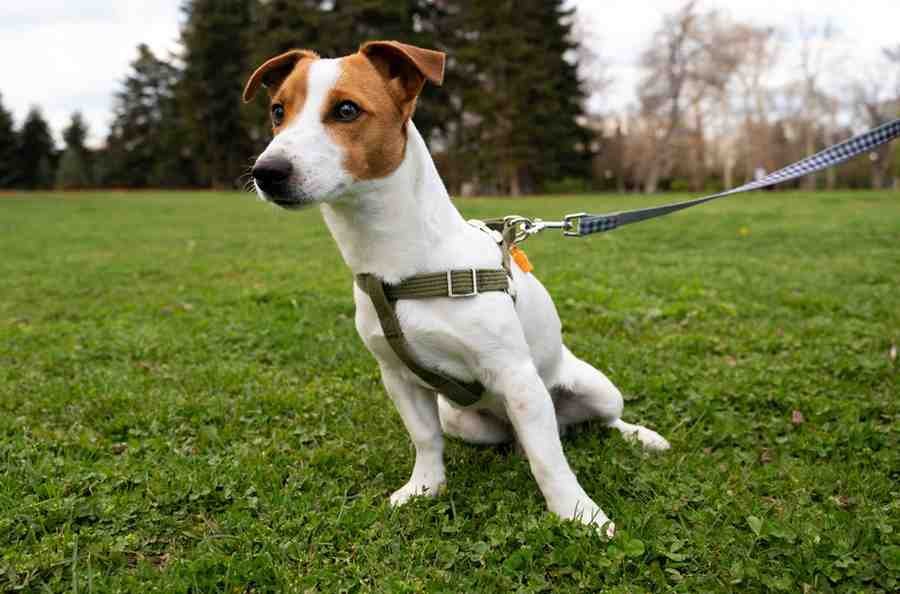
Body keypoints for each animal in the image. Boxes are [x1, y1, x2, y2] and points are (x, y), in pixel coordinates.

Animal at [244, 39, 668, 536]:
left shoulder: (516, 376)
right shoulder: (398, 377)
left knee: (604, 422)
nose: (266, 171)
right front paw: (425, 487)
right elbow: (425, 438)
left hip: (591, 389)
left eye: (346, 110)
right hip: (465, 420)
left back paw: (644, 437)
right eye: (277, 111)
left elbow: (549, 462)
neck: (398, 265)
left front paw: (578, 513)